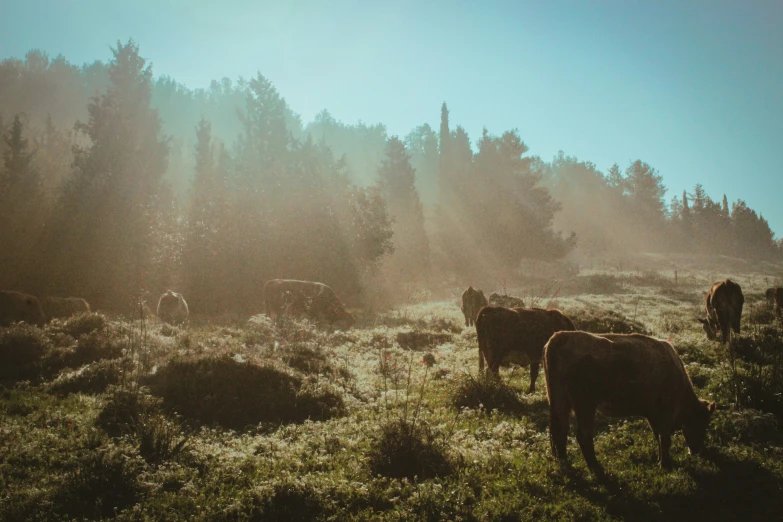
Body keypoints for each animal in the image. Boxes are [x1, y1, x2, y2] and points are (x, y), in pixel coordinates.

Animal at [544, 332, 716, 474]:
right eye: (702, 423)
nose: (698, 451)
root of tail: (561, 337)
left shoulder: (652, 413)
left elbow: (658, 436)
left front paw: (660, 461)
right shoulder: (665, 410)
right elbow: (665, 438)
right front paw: (666, 465)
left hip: (560, 400)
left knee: (560, 431)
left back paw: (566, 466)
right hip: (585, 405)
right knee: (583, 435)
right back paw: (597, 469)